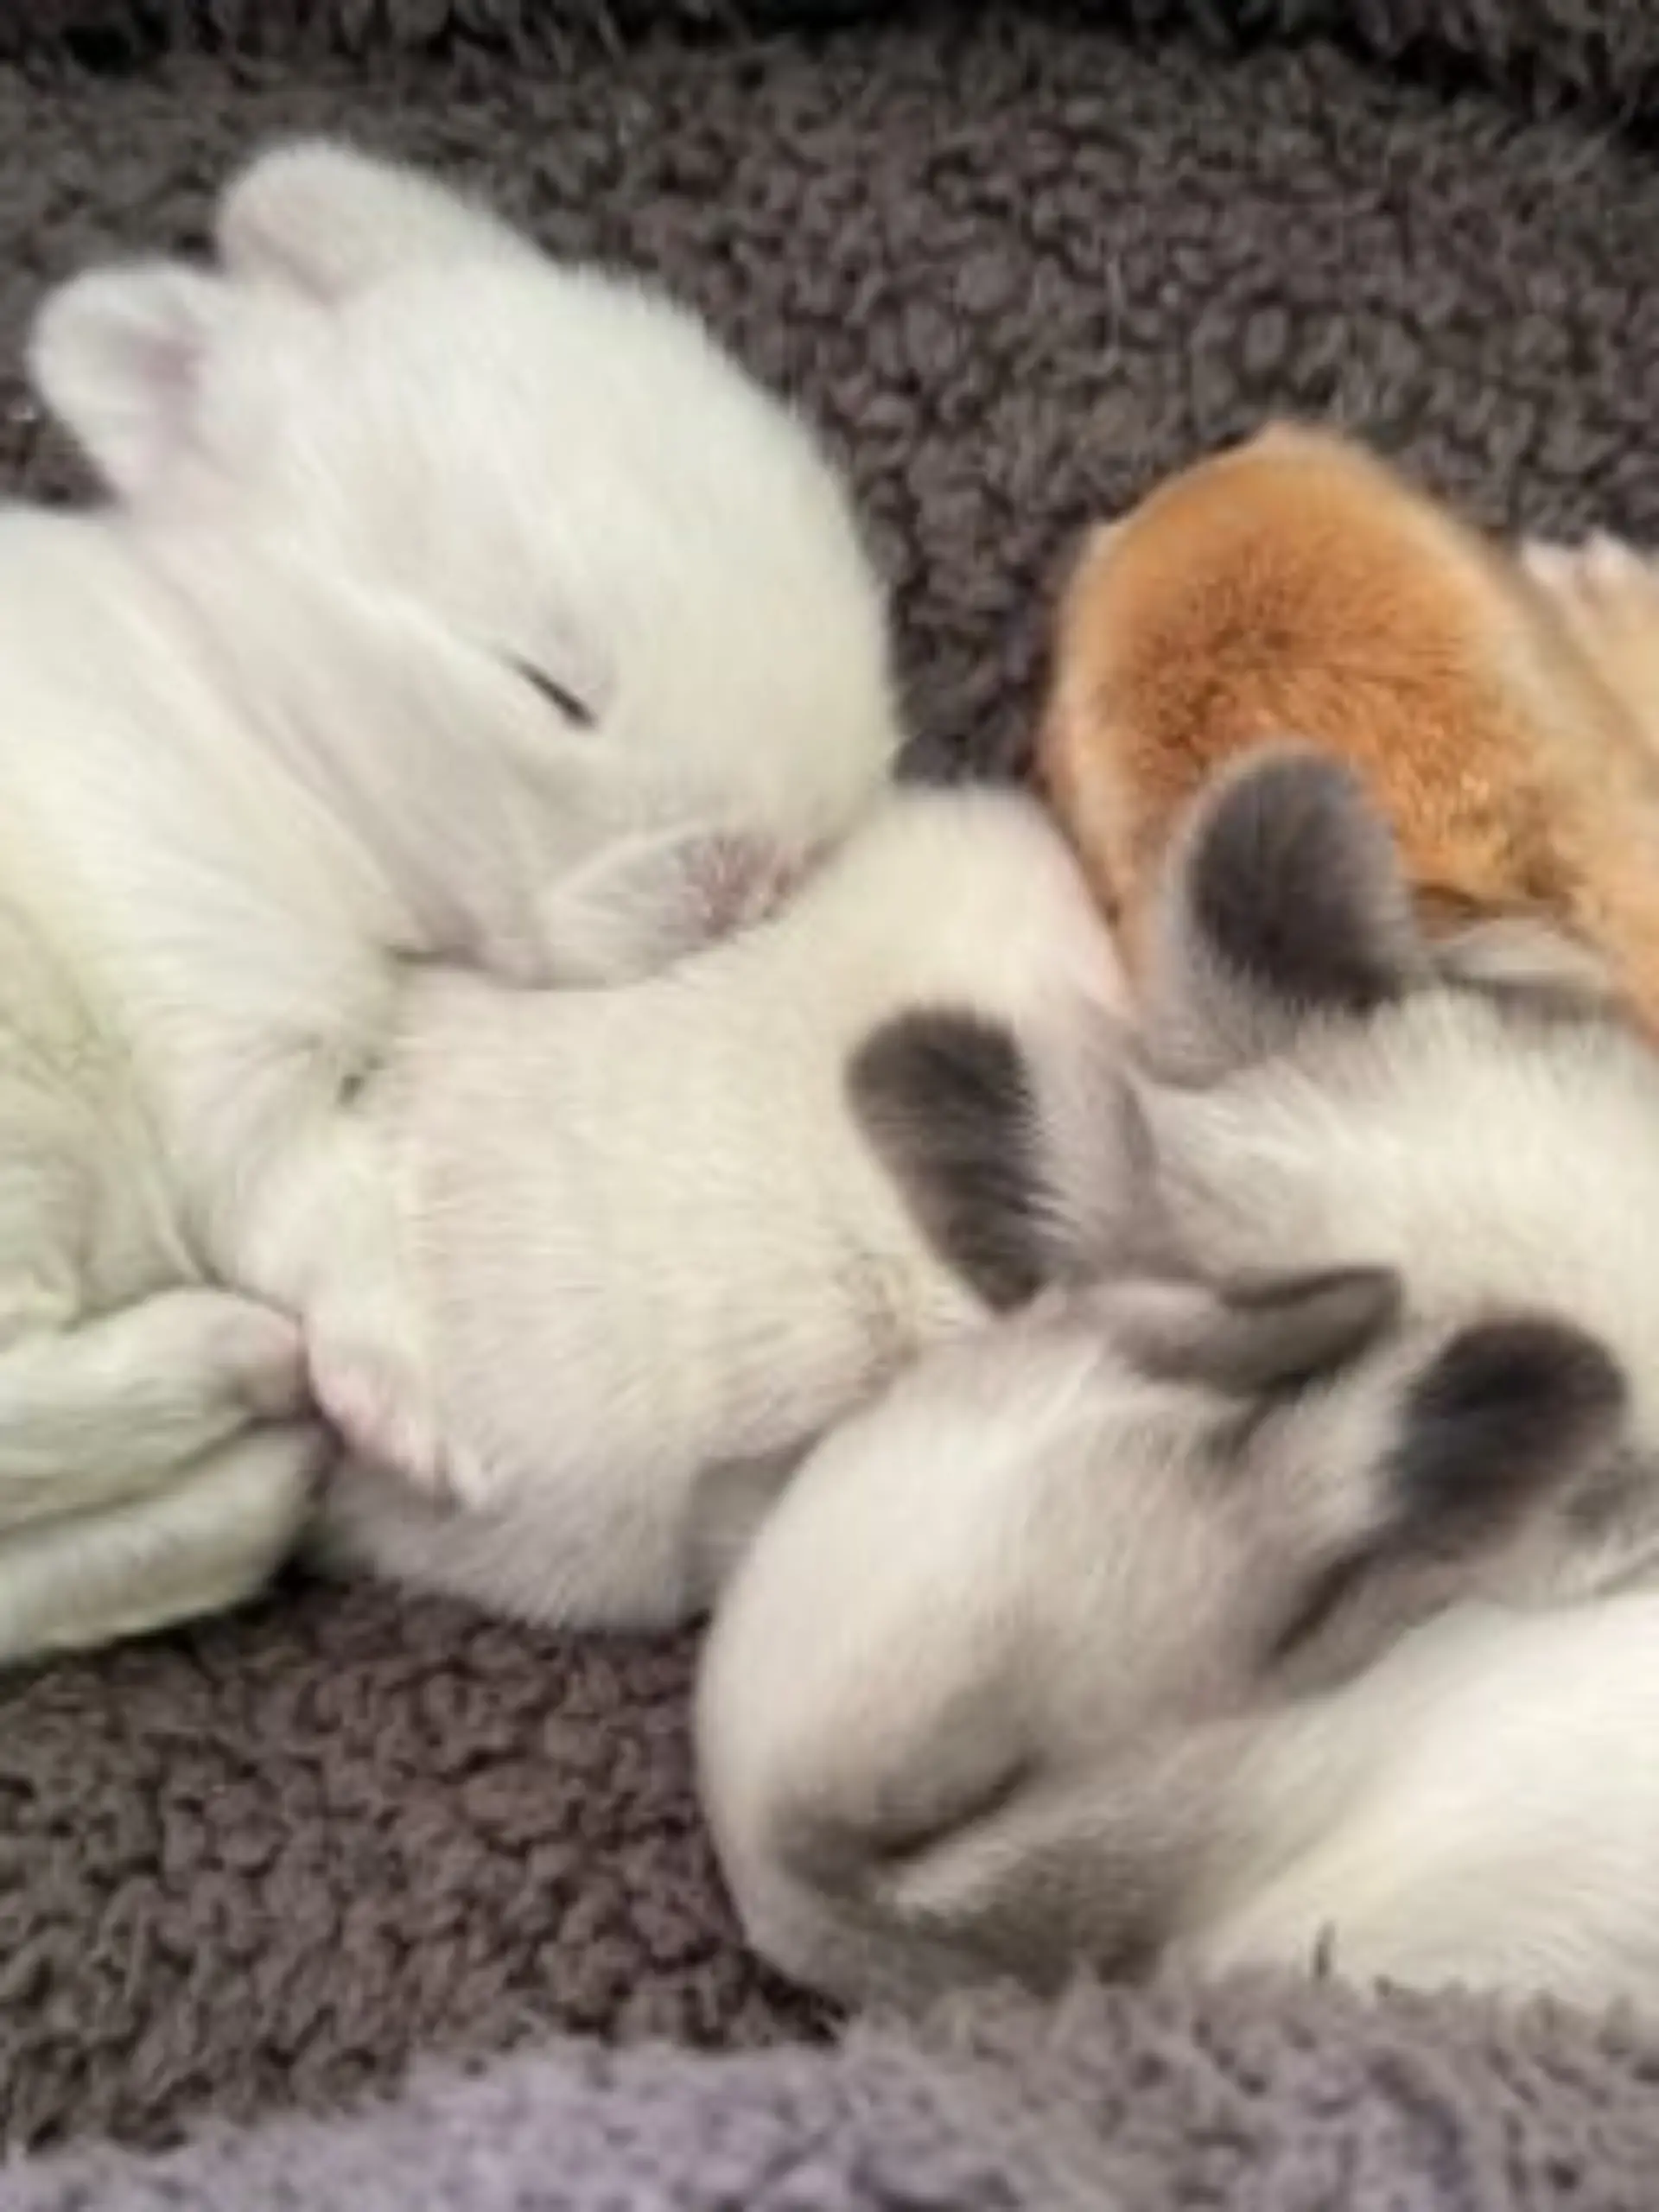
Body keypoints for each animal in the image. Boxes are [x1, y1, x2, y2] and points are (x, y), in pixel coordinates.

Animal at [0, 139, 900, 1661]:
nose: (760, 873)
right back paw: (239, 1373)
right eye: (548, 687)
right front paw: (414, 1416)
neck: (252, 721)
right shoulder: (214, 1003)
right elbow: (309, 1203)